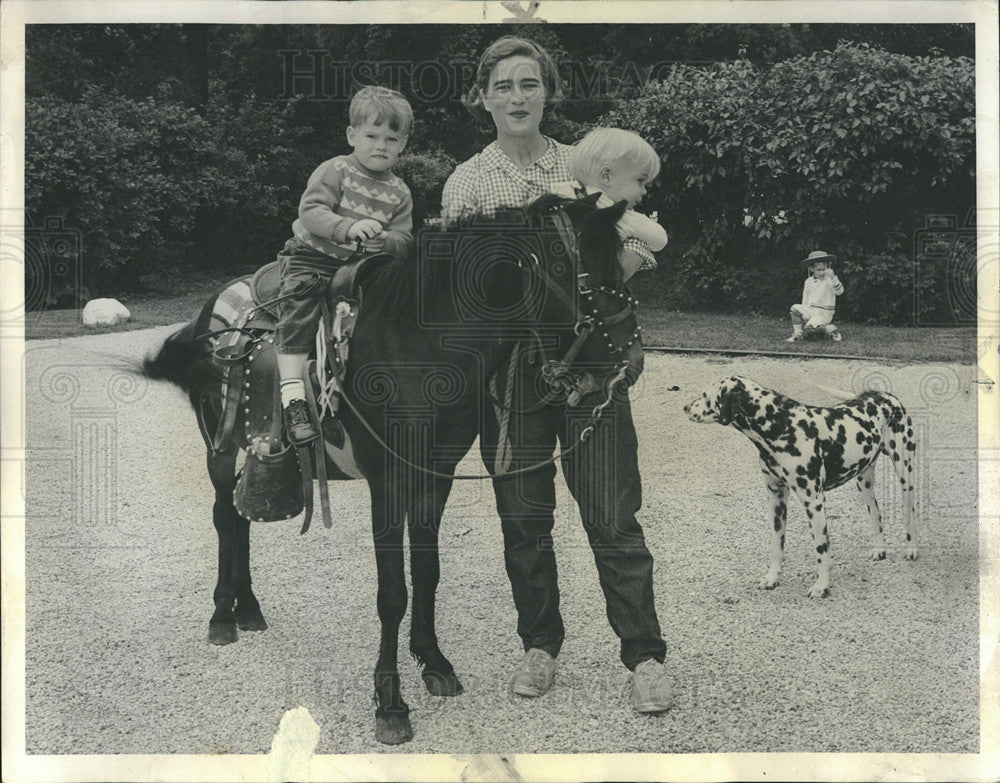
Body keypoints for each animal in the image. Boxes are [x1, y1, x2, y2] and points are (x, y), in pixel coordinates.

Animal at [143, 193, 632, 744]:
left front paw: (434, 662)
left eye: (621, 268)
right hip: (220, 447)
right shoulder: (389, 482)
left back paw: (248, 609)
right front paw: (390, 702)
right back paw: (223, 616)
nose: (619, 365)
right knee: (226, 518)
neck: (416, 346)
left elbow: (428, 572)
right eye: (572, 268)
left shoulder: (435, 476)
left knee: (242, 519)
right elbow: (392, 593)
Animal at [688, 376, 916, 596]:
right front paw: (772, 578)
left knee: (910, 516)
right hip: (864, 483)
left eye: (705, 396)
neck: (781, 425)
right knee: (876, 515)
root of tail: (882, 395)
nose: (685, 408)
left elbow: (821, 550)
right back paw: (879, 549)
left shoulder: (813, 502)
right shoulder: (776, 500)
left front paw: (822, 586)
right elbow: (776, 546)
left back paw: (911, 549)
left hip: (905, 476)